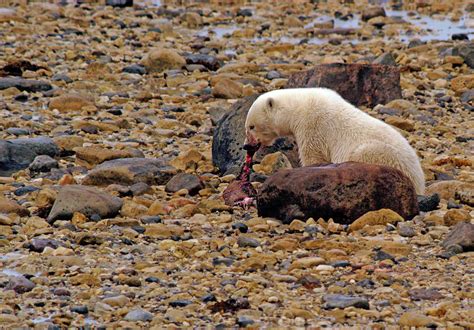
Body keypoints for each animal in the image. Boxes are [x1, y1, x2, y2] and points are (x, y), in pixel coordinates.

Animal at [244, 89, 426, 195]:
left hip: (381, 154)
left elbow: (313, 156)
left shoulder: (313, 126)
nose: (246, 145)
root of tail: (419, 181)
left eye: (251, 126)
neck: (299, 108)